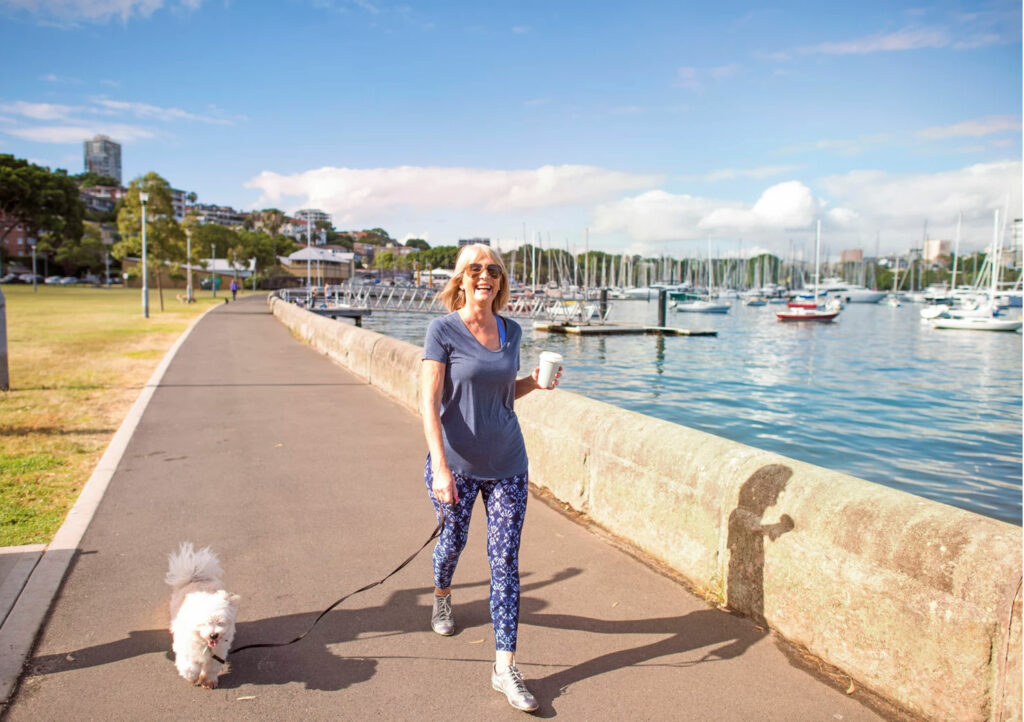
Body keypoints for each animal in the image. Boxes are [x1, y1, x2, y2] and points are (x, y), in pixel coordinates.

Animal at [166, 540, 240, 688]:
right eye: (203, 624)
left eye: (220, 622)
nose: (214, 635)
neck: (206, 644)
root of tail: (195, 577)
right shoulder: (186, 649)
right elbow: (190, 666)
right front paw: (192, 677)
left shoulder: (218, 653)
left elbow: (211, 667)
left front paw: (209, 681)